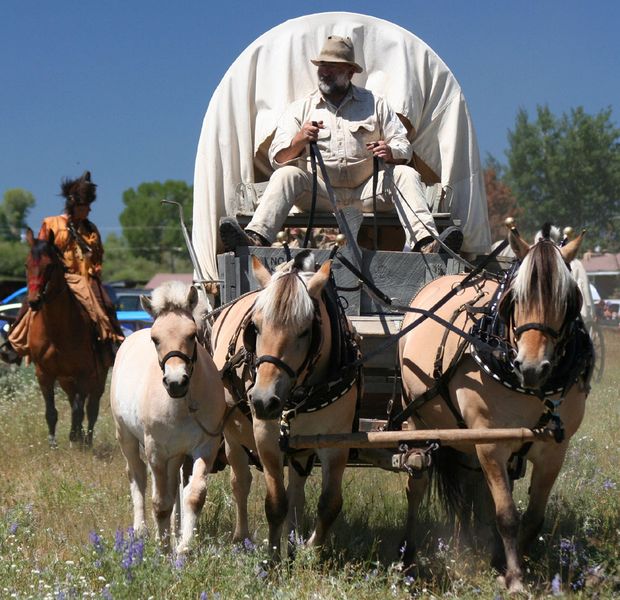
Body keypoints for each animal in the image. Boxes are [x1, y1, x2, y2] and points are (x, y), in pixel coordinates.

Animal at [24, 227, 108, 448]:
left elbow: (79, 410)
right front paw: (53, 444)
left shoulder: (83, 374)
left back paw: (86, 439)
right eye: (27, 265)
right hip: (65, 381)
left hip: (97, 379)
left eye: (49, 265)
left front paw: (75, 439)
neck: (57, 332)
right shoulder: (44, 374)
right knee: (74, 402)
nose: (34, 301)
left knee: (91, 408)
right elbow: (51, 412)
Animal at [110, 282, 226, 552]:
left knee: (173, 488)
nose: (176, 382)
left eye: (192, 335)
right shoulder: (156, 449)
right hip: (126, 438)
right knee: (138, 475)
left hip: (175, 455)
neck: (181, 405)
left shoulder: (205, 446)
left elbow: (192, 496)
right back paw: (140, 531)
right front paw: (162, 549)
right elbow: (160, 503)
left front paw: (183, 546)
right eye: (155, 338)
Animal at [211, 251, 360, 556]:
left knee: (296, 489)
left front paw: (310, 550)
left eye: (305, 331)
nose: (263, 400)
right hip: (233, 435)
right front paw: (272, 555)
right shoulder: (266, 438)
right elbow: (275, 502)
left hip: (299, 447)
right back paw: (241, 538)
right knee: (240, 482)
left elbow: (329, 503)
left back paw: (293, 537)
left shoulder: (336, 441)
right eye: (254, 327)